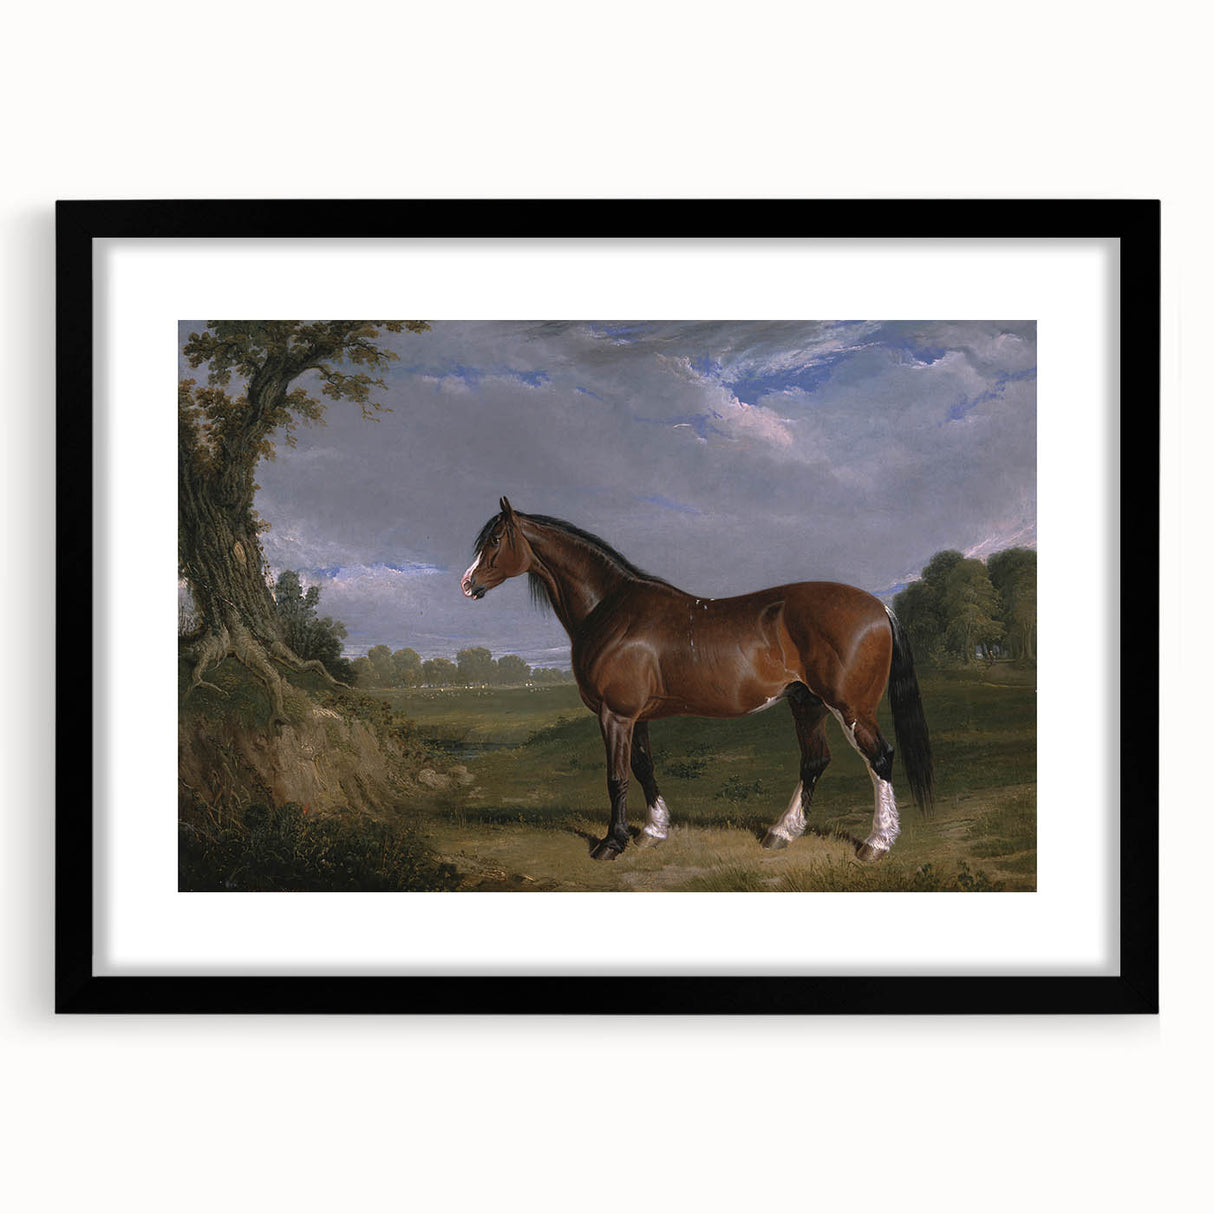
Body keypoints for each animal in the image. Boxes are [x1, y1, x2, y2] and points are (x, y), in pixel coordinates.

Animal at [462, 497, 934, 862]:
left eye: (496, 540)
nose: (467, 585)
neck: (611, 610)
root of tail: (879, 607)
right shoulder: (636, 717)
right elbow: (643, 767)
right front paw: (653, 832)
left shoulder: (615, 715)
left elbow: (616, 777)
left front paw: (612, 844)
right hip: (807, 703)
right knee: (815, 762)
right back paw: (780, 833)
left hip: (850, 707)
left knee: (880, 759)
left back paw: (876, 844)